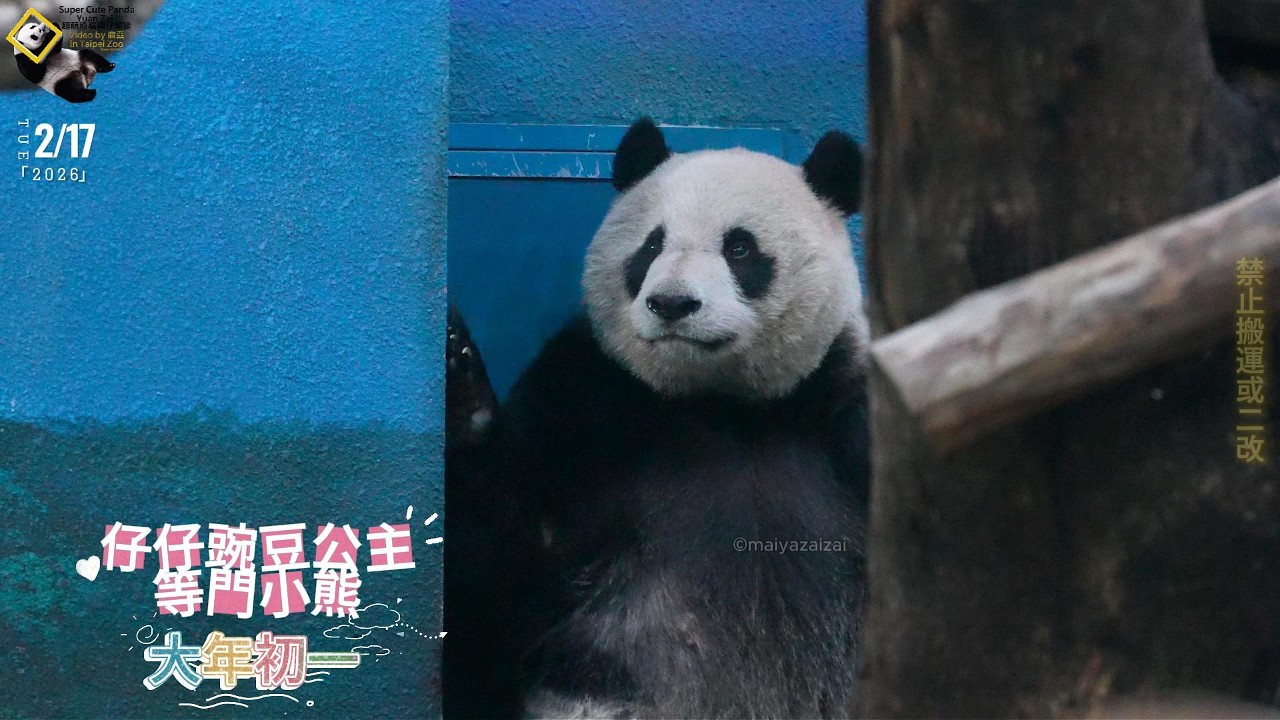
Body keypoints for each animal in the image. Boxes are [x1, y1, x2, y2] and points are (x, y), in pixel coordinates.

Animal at [444, 117, 869, 719]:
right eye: (651, 245)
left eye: (739, 247)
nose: (671, 303)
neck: (720, 403)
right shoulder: (589, 397)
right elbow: (508, 564)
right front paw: (461, 385)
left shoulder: (845, 407)